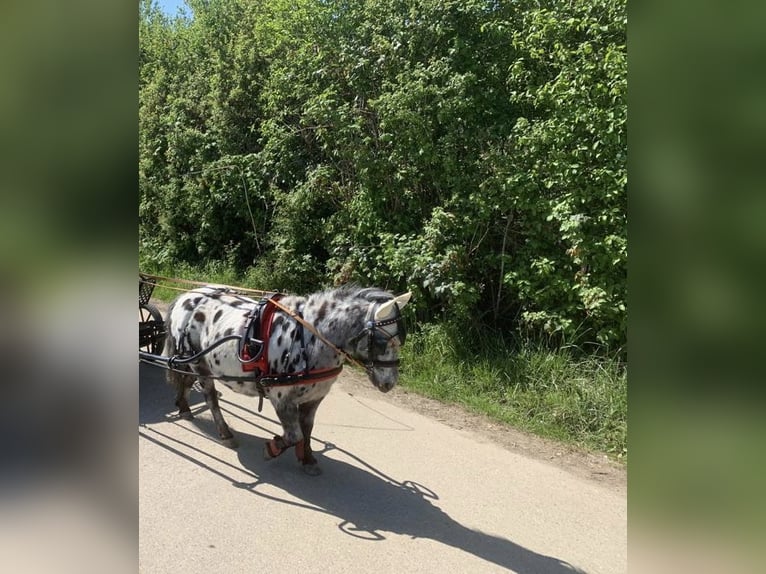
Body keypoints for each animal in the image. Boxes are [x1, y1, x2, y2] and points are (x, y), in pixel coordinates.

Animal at [163, 285, 412, 475]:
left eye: (400, 340)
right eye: (381, 341)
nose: (389, 383)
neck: (310, 338)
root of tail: (186, 297)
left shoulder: (314, 397)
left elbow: (307, 429)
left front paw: (307, 458)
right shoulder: (281, 398)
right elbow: (293, 435)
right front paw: (273, 449)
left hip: (193, 362)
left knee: (185, 380)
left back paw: (184, 407)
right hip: (198, 363)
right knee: (211, 398)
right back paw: (225, 433)